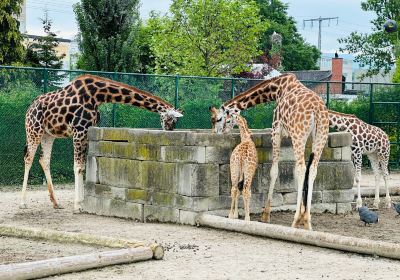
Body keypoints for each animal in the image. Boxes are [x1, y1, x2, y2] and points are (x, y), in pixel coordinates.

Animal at [21, 73, 183, 211]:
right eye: (171, 119)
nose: (170, 130)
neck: (98, 96)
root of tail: (29, 109)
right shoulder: (79, 130)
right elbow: (78, 167)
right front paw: (78, 205)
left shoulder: (87, 130)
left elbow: (83, 167)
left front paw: (82, 202)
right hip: (34, 130)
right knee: (28, 158)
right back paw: (23, 202)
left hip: (48, 134)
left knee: (44, 160)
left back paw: (55, 202)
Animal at [209, 73, 328, 229]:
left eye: (219, 119)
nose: (217, 133)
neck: (276, 89)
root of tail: (317, 110)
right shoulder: (291, 135)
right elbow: (294, 172)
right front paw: (303, 213)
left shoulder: (276, 129)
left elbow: (274, 171)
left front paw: (266, 214)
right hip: (320, 136)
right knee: (312, 169)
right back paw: (307, 221)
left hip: (299, 135)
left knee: (303, 168)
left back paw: (295, 220)